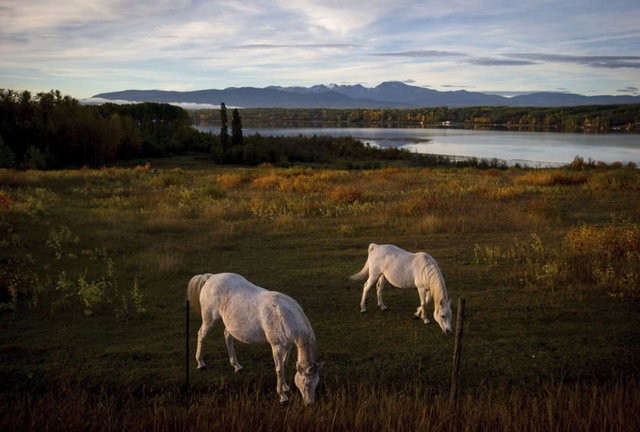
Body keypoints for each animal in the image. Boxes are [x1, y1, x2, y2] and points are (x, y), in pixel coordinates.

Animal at [188, 274, 322, 404]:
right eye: (307, 383)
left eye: (317, 383)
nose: (310, 403)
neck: (283, 315)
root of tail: (211, 277)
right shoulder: (276, 346)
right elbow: (279, 369)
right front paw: (282, 396)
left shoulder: (287, 345)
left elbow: (285, 364)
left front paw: (285, 387)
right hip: (209, 319)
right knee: (201, 335)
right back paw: (200, 363)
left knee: (227, 336)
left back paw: (236, 365)